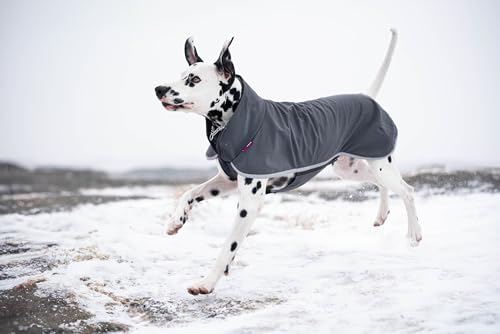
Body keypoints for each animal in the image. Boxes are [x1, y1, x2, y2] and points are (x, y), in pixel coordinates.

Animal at [153, 29, 422, 294]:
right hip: (351, 168)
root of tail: (366, 97)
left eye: (194, 79)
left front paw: (206, 282)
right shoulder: (226, 180)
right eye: (180, 76)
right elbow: (189, 193)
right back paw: (382, 214)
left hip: (380, 164)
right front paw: (175, 221)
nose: (159, 89)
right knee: (382, 184)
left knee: (407, 190)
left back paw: (414, 234)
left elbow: (228, 246)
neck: (238, 122)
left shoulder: (249, 202)